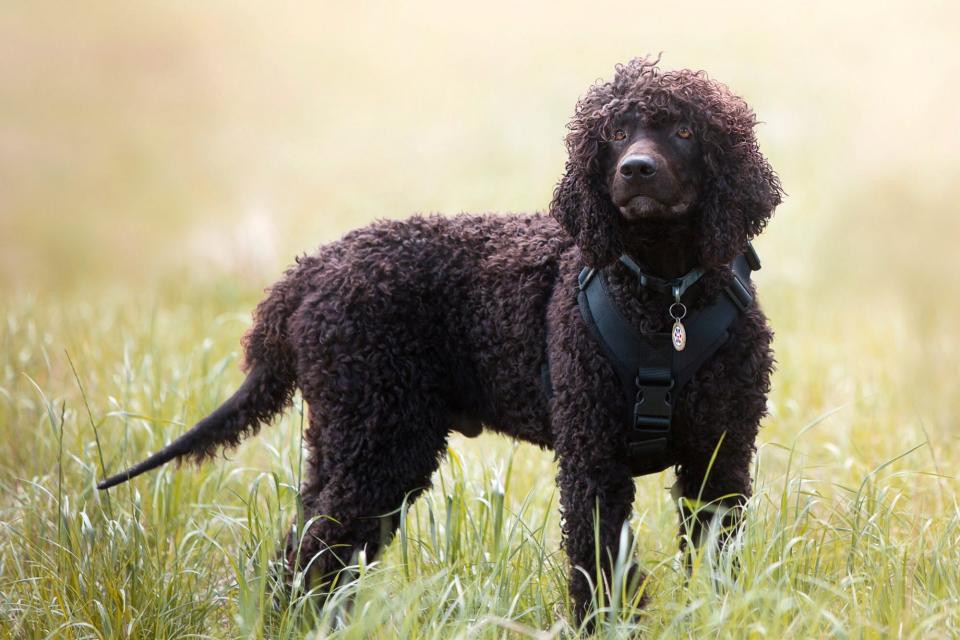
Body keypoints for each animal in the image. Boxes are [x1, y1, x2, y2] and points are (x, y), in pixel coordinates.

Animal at [101, 58, 784, 620]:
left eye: (686, 131)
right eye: (614, 133)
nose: (635, 169)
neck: (664, 296)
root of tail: (312, 269)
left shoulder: (720, 459)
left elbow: (717, 565)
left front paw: (722, 618)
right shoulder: (593, 458)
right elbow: (599, 567)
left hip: (349, 441)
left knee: (310, 551)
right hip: (379, 437)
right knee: (315, 554)